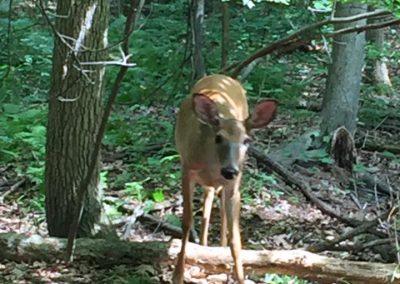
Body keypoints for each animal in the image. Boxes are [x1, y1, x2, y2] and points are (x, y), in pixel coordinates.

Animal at [173, 74, 276, 282]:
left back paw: (217, 250)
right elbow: (187, 222)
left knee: (216, 207)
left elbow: (235, 237)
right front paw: (177, 275)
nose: (230, 170)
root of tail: (221, 76)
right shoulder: (186, 170)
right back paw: (204, 246)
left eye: (247, 140)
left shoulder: (234, 186)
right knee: (207, 204)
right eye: (218, 137)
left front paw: (240, 277)